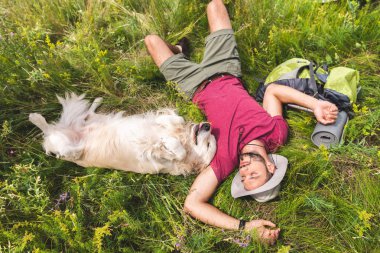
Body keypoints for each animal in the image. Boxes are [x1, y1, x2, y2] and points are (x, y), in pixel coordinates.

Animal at [29, 93, 217, 176]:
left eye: (209, 145)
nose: (208, 125)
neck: (183, 138)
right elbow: (176, 118)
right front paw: (167, 126)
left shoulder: (157, 161)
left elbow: (179, 152)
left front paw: (168, 143)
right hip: (85, 123)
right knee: (86, 115)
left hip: (72, 150)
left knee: (52, 138)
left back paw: (35, 118)